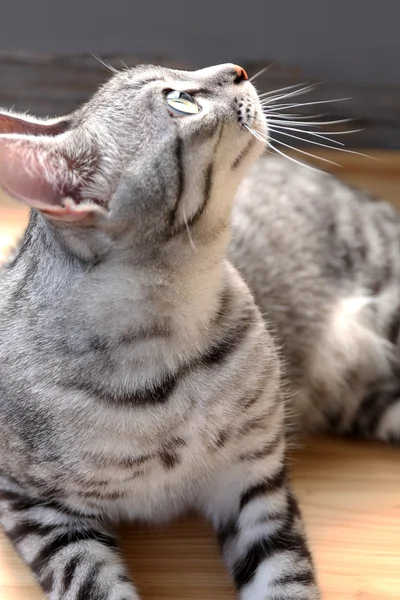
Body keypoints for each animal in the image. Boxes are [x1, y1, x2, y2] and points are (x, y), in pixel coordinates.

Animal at [0, 63, 318, 596]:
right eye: (179, 103)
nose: (238, 69)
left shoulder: (253, 479)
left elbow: (287, 579)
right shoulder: (32, 505)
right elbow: (93, 584)